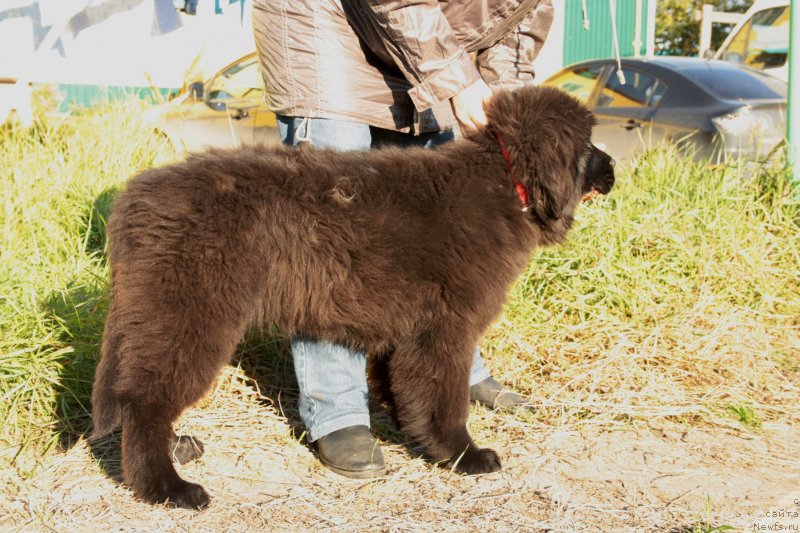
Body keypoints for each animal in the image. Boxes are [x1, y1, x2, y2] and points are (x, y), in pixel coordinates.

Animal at [94, 86, 616, 508]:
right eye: (590, 147)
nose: (615, 166)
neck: (504, 180)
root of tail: (136, 198)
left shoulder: (409, 331)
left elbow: (406, 390)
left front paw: (416, 436)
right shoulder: (445, 328)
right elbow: (445, 399)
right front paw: (464, 456)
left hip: (157, 314)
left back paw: (178, 449)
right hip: (191, 313)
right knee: (144, 403)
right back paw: (168, 488)